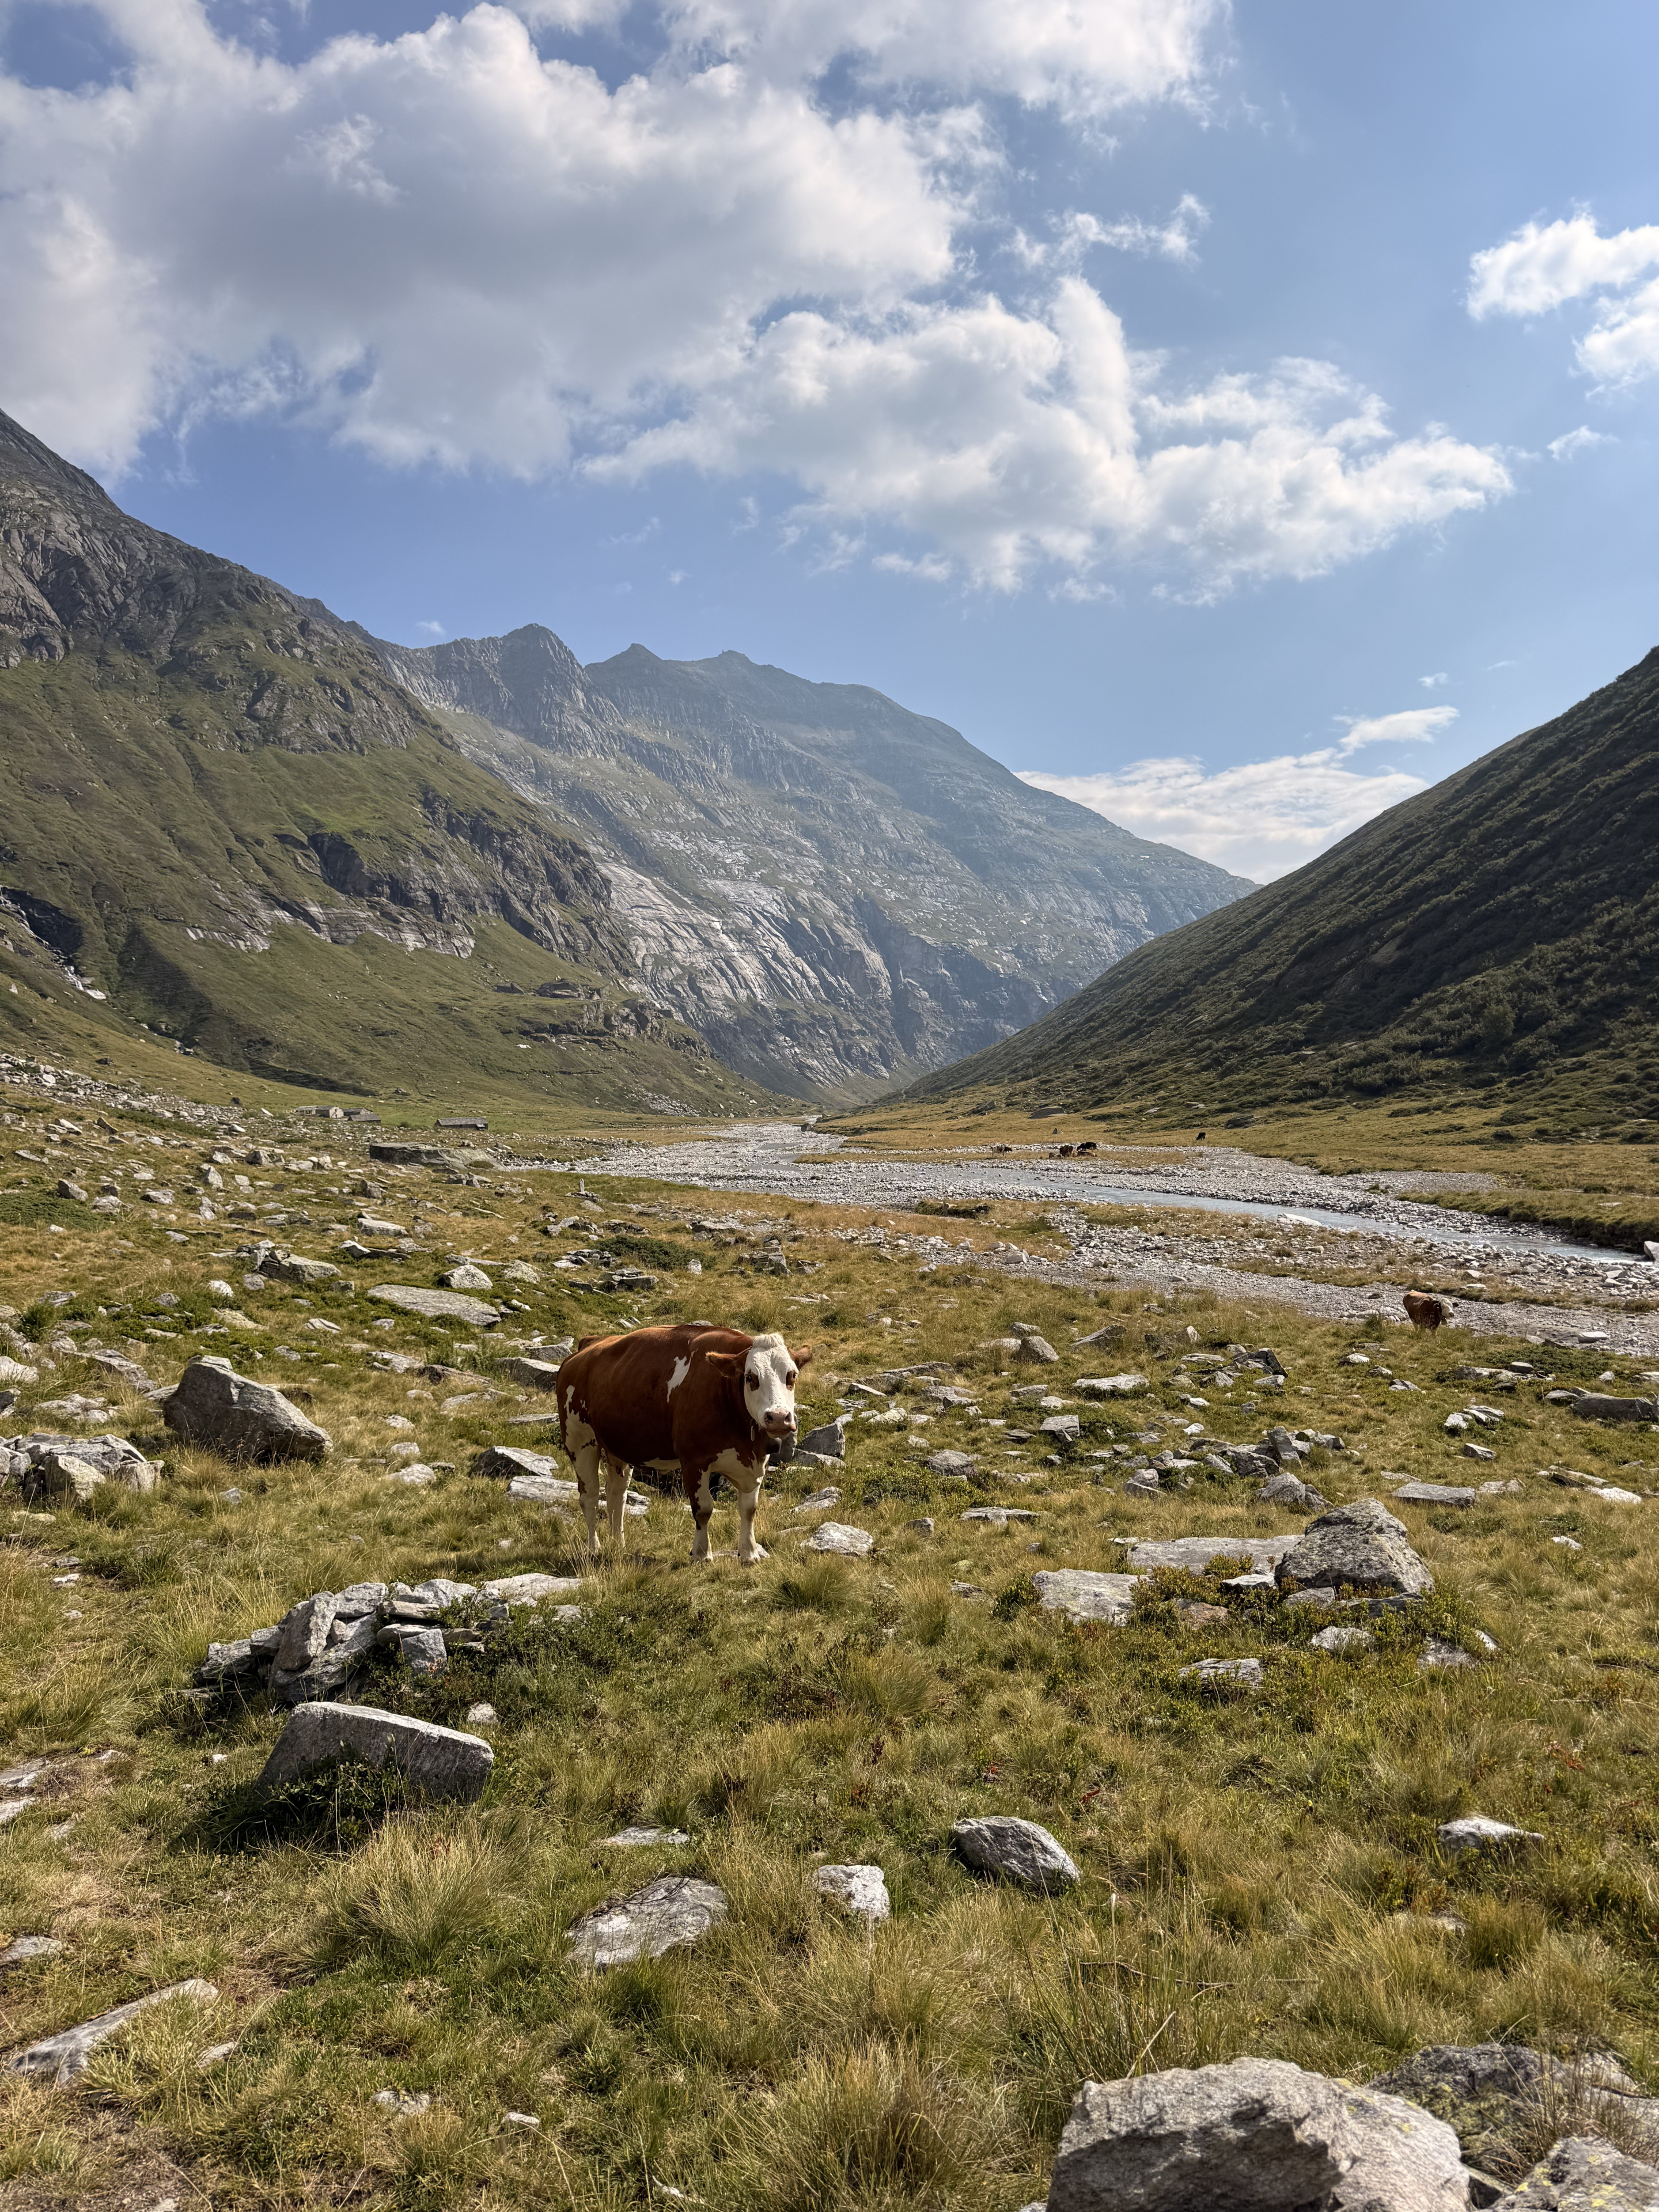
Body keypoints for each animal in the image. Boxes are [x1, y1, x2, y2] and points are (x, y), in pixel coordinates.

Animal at [555, 1323, 810, 1564]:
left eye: (793, 1376)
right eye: (750, 1378)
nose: (778, 1417)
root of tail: (590, 1343)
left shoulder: (757, 1462)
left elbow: (749, 1509)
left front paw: (749, 1553)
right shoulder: (694, 1461)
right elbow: (704, 1509)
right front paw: (702, 1554)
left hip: (617, 1446)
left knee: (616, 1494)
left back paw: (618, 1545)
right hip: (579, 1438)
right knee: (589, 1496)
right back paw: (594, 1549)